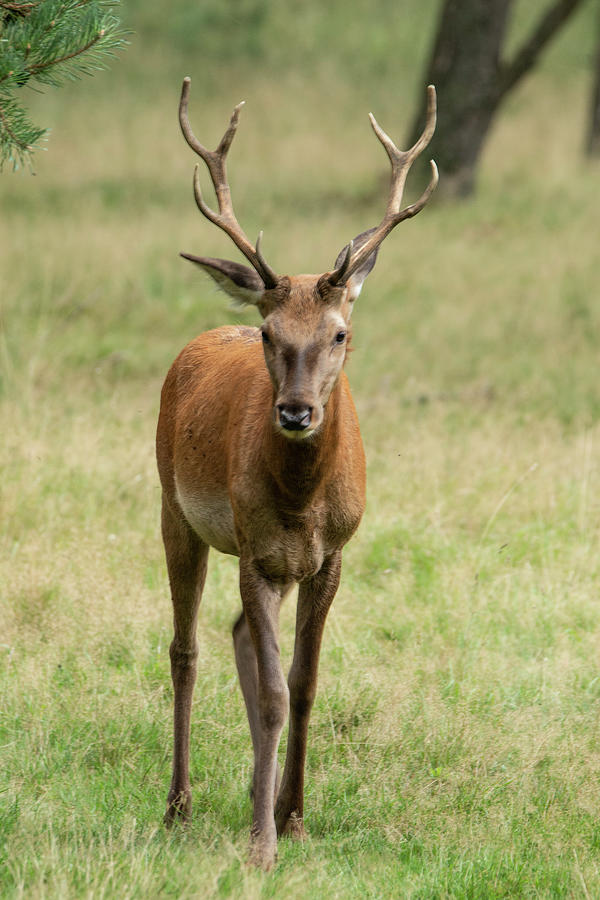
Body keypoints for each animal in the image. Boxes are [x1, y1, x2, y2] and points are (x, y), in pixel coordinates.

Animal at [155, 79, 436, 872]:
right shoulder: (253, 547)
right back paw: (179, 805)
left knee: (239, 639)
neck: (303, 501)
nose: (296, 411)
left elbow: (303, 687)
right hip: (174, 508)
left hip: (274, 563)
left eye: (340, 333)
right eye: (269, 333)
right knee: (186, 649)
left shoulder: (330, 552)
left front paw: (295, 816)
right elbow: (276, 694)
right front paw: (262, 844)